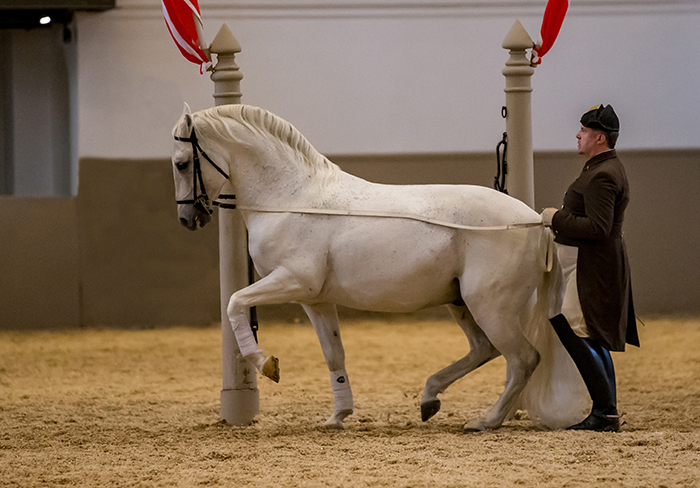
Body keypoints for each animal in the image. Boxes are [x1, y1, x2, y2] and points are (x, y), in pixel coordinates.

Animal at [171, 104, 592, 430]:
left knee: (522, 359)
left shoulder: (292, 281)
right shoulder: (315, 300)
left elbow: (235, 304)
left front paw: (266, 365)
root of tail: (536, 222)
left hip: (489, 306)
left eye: (181, 163)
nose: (188, 218)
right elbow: (334, 354)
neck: (290, 198)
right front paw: (338, 416)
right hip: (462, 303)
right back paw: (430, 398)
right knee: (484, 349)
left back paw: (485, 421)